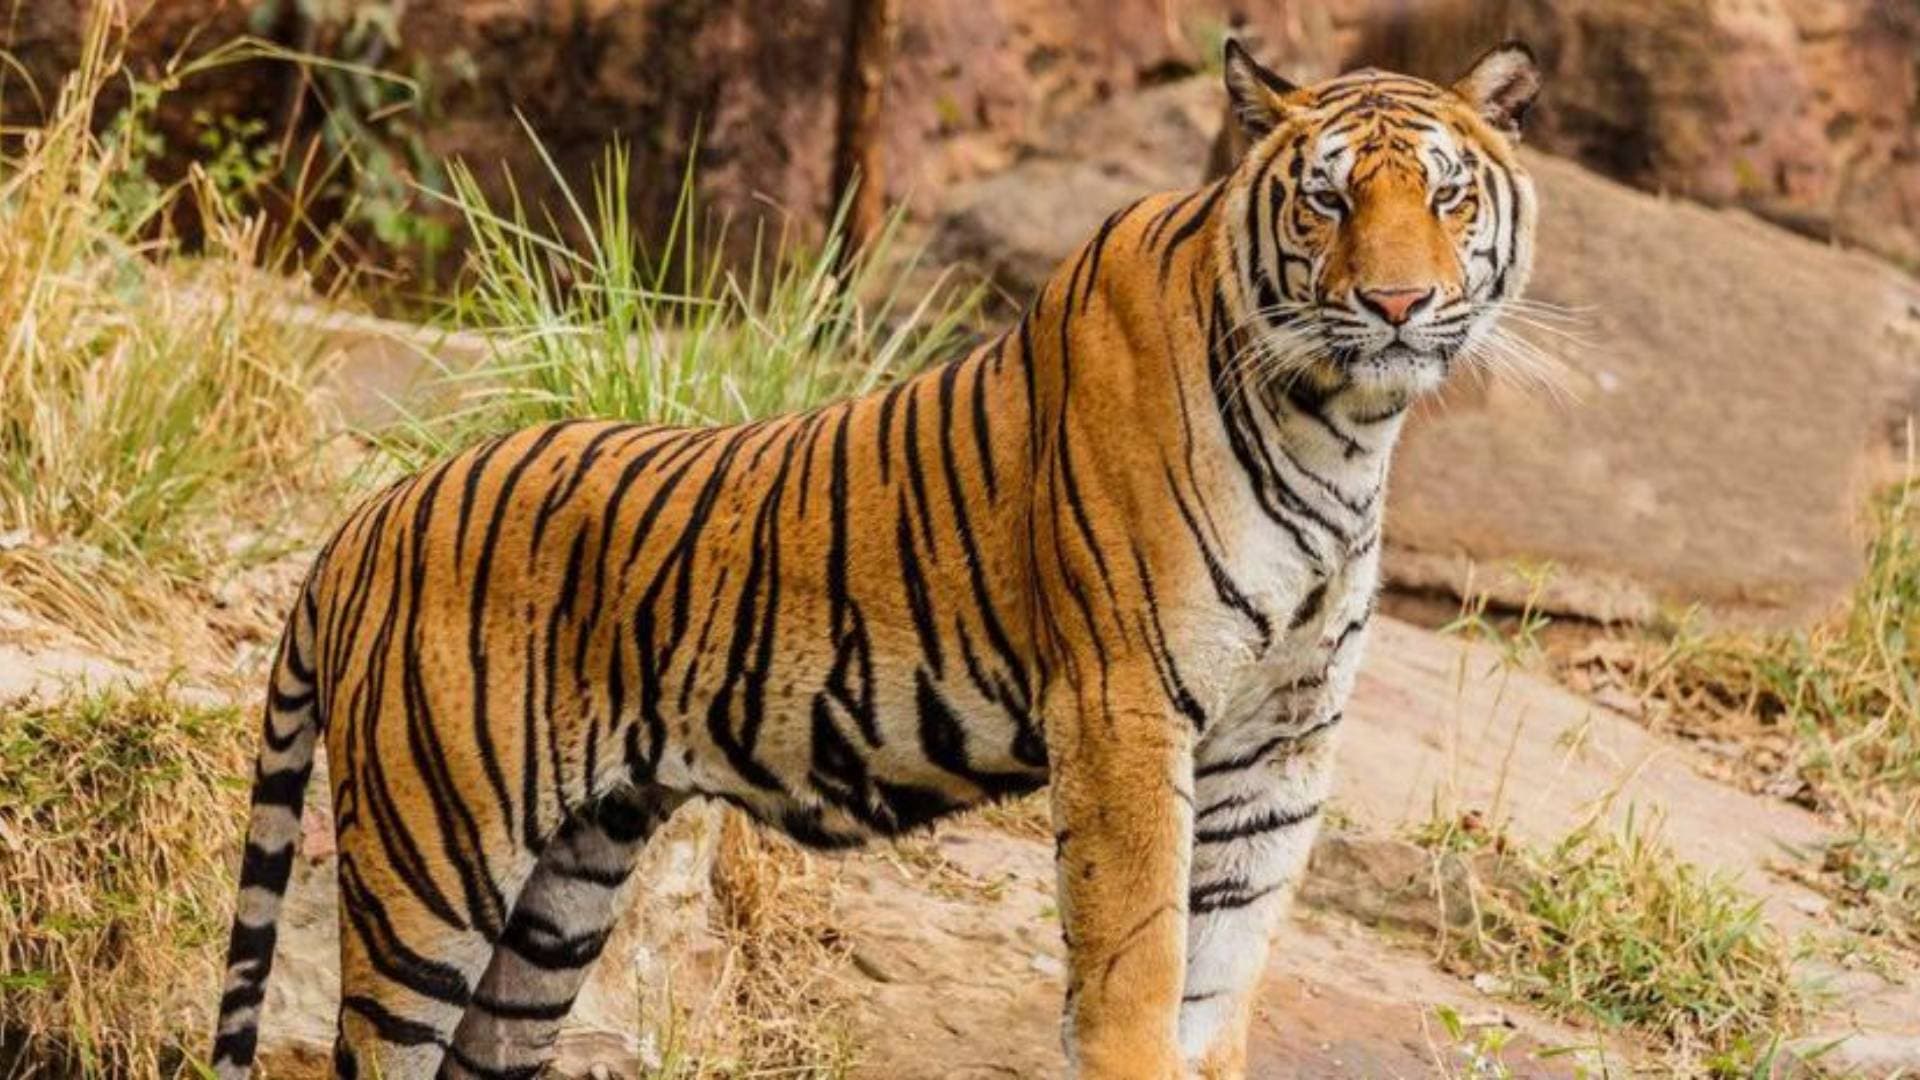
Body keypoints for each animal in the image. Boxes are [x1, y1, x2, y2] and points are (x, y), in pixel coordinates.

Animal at [211, 39, 1542, 1080]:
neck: (1342, 428)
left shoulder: (1282, 741)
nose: (1397, 306)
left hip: (563, 892)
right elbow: (1138, 963)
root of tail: (366, 519)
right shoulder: (1125, 708)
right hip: (432, 865)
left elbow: (1221, 976)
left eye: (1447, 199)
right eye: (1328, 201)